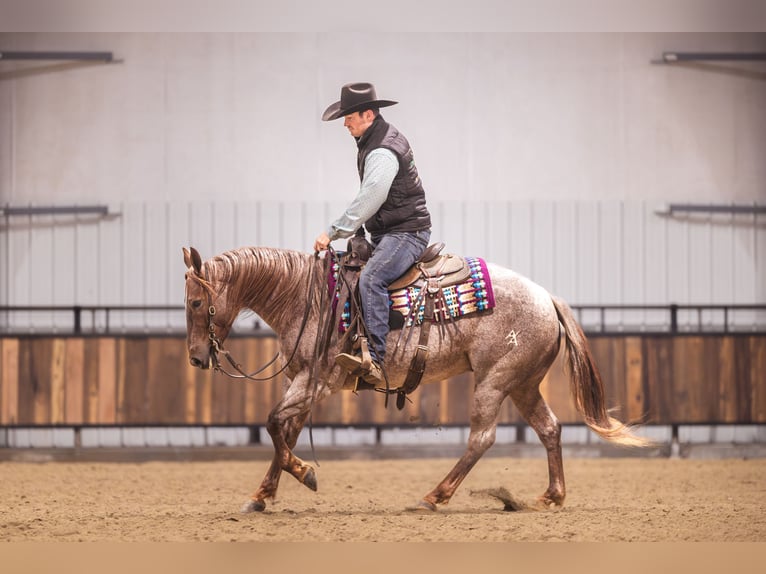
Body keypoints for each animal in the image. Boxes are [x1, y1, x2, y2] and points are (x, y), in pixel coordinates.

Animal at [182, 245, 649, 513]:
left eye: (195, 302)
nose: (196, 357)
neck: (305, 295)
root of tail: (547, 298)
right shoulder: (299, 381)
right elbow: (285, 431)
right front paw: (262, 495)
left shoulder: (316, 382)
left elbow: (273, 424)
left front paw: (305, 474)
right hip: (523, 383)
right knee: (549, 428)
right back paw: (553, 495)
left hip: (495, 380)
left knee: (482, 438)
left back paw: (434, 496)